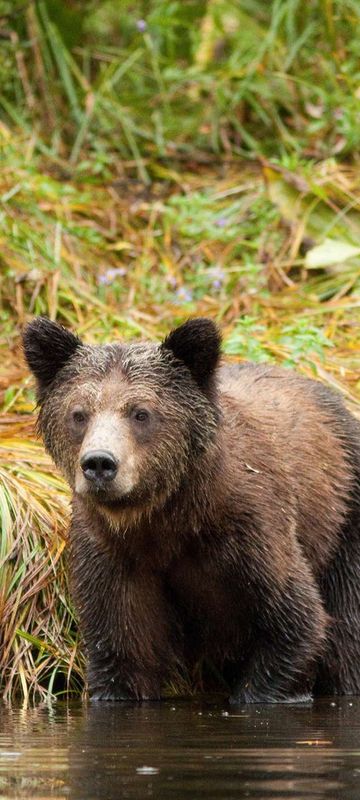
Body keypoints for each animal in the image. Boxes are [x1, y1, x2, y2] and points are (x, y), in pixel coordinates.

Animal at [23, 316, 360, 704]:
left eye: (140, 413)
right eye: (79, 413)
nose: (99, 463)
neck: (170, 518)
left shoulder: (252, 534)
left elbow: (296, 623)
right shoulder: (113, 555)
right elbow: (124, 651)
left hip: (344, 517)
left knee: (348, 633)